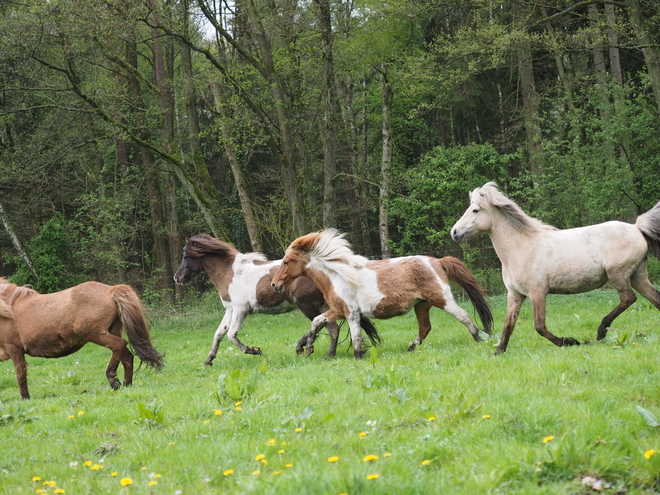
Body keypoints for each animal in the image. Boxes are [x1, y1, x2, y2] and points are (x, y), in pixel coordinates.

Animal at [0, 280, 164, 402]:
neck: (7, 309)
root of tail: (111, 290)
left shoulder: (14, 349)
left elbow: (20, 375)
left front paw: (25, 398)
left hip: (96, 334)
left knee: (120, 346)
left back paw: (112, 378)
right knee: (126, 356)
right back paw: (126, 384)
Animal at [174, 234, 382, 362]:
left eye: (185, 255)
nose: (177, 277)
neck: (231, 273)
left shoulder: (241, 309)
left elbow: (232, 335)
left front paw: (254, 350)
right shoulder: (230, 309)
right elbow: (218, 334)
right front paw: (209, 360)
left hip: (307, 305)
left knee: (327, 326)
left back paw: (306, 348)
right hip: (322, 305)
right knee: (332, 328)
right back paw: (325, 354)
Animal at [270, 229, 492, 360]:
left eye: (286, 261)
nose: (274, 284)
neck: (337, 275)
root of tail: (437, 261)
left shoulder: (351, 313)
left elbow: (356, 336)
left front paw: (358, 356)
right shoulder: (337, 310)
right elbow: (317, 321)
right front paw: (307, 347)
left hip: (442, 299)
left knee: (463, 316)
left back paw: (478, 338)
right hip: (422, 304)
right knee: (425, 327)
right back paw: (411, 347)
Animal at [452, 181, 660, 352]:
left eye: (475, 210)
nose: (454, 232)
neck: (521, 247)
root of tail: (636, 227)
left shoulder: (537, 292)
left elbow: (539, 326)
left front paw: (569, 341)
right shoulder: (515, 294)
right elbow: (508, 325)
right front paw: (498, 352)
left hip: (618, 274)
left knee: (628, 298)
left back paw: (601, 331)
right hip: (637, 276)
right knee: (655, 298)